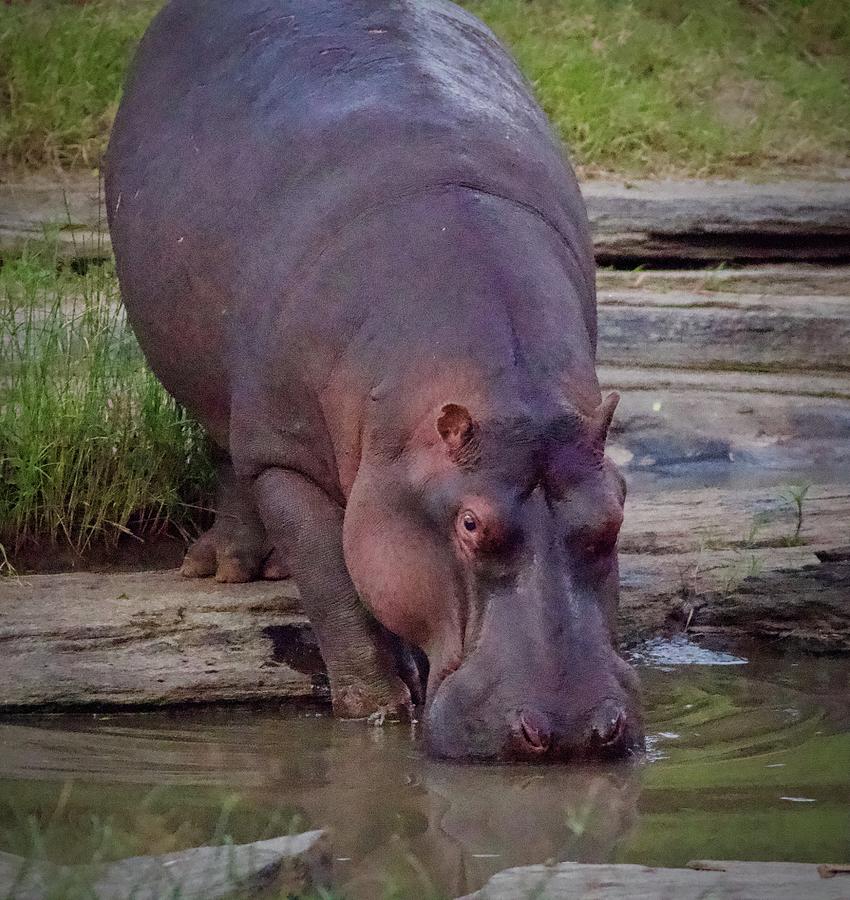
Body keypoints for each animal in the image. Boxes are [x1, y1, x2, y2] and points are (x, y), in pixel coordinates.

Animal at [102, 0, 640, 760]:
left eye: (614, 515)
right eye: (471, 523)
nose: (571, 732)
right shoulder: (286, 461)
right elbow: (333, 584)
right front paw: (378, 713)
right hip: (217, 392)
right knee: (226, 455)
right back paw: (226, 568)